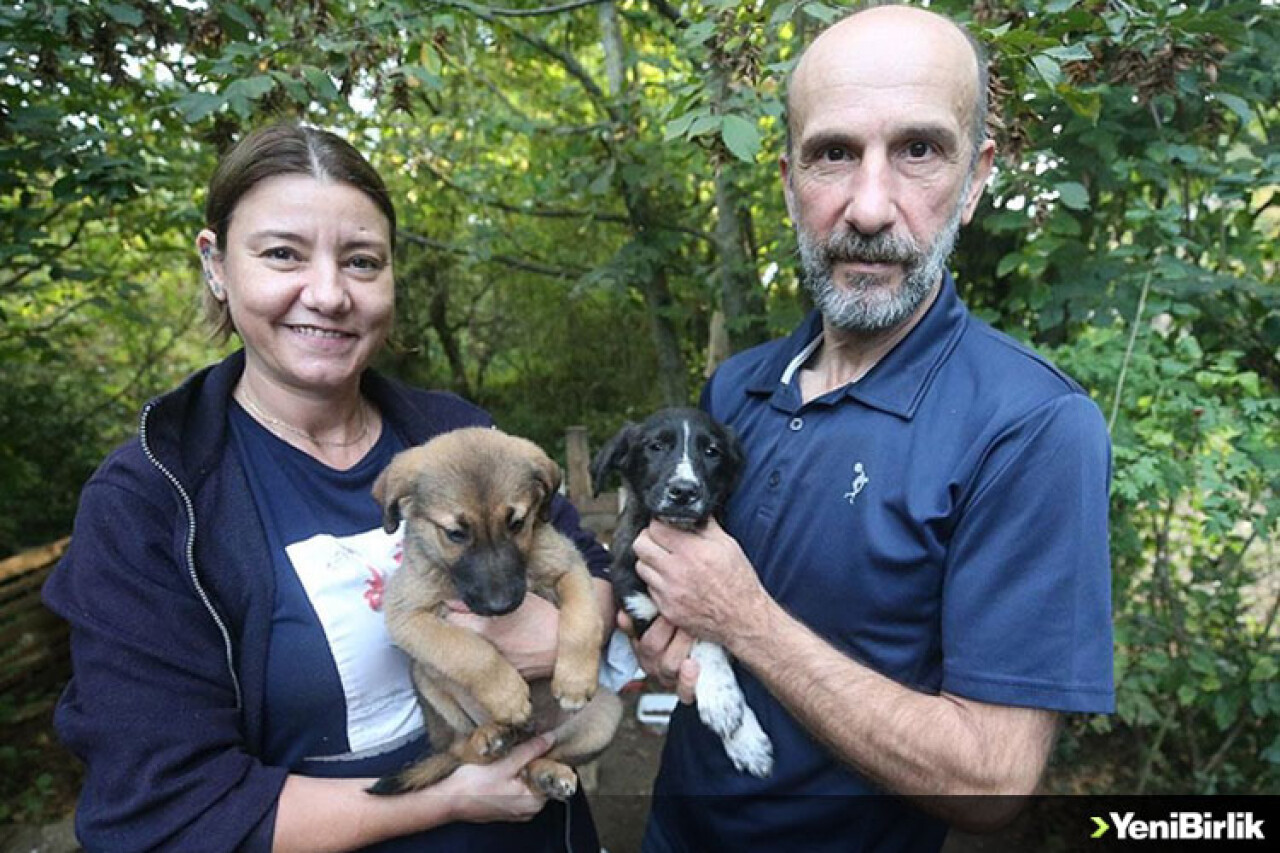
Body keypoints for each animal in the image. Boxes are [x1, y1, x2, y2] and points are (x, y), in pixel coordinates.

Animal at [368, 425, 622, 799]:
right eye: (456, 534)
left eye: (517, 523)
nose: (502, 605)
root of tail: (525, 734)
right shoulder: (405, 615)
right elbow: (470, 651)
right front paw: (508, 696)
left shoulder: (569, 566)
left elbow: (582, 620)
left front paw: (575, 680)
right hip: (427, 678)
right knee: (461, 750)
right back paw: (489, 735)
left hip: (605, 714)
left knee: (536, 755)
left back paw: (548, 772)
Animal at [588, 409, 768, 773]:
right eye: (655, 446)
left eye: (712, 451)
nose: (683, 492)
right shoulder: (641, 611)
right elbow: (696, 642)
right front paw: (736, 725)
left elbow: (707, 640)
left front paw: (731, 714)